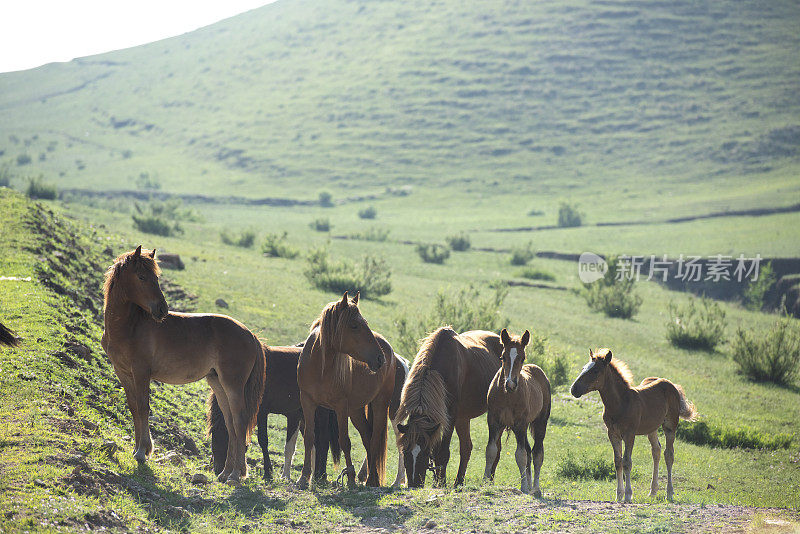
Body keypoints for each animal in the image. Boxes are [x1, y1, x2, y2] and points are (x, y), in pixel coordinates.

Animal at [101, 248, 266, 486]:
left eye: (156, 277)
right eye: (142, 277)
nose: (162, 309)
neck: (129, 326)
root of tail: (250, 335)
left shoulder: (141, 373)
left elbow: (143, 407)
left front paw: (142, 452)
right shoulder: (122, 372)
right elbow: (134, 408)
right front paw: (137, 449)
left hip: (233, 385)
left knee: (239, 421)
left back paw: (236, 474)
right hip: (218, 383)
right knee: (230, 425)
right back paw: (225, 473)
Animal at [205, 346, 340, 484]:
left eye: (220, 435)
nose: (217, 469)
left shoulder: (264, 413)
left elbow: (264, 440)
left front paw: (268, 472)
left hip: (320, 413)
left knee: (322, 441)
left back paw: (320, 476)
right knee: (314, 444)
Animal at [296, 294, 396, 490]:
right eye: (354, 325)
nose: (380, 358)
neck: (321, 366)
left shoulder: (340, 407)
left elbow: (344, 441)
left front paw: (350, 479)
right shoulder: (307, 401)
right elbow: (310, 437)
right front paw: (304, 477)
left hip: (380, 404)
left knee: (374, 439)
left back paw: (371, 480)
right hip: (355, 411)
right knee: (367, 437)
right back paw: (368, 477)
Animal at [482, 330, 552, 498]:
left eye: (522, 357)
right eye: (503, 357)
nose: (511, 384)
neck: (507, 395)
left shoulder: (521, 424)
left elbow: (521, 456)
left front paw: (524, 487)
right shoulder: (494, 421)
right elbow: (491, 450)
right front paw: (485, 482)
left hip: (539, 423)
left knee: (537, 453)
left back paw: (535, 488)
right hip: (517, 428)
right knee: (529, 451)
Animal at [568, 350, 692, 504]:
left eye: (595, 371)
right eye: (583, 368)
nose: (574, 389)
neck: (620, 402)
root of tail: (671, 384)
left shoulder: (629, 434)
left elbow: (627, 462)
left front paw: (628, 495)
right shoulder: (613, 434)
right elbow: (618, 462)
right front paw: (618, 495)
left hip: (670, 426)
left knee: (668, 454)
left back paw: (669, 493)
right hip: (652, 429)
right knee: (656, 451)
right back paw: (652, 492)